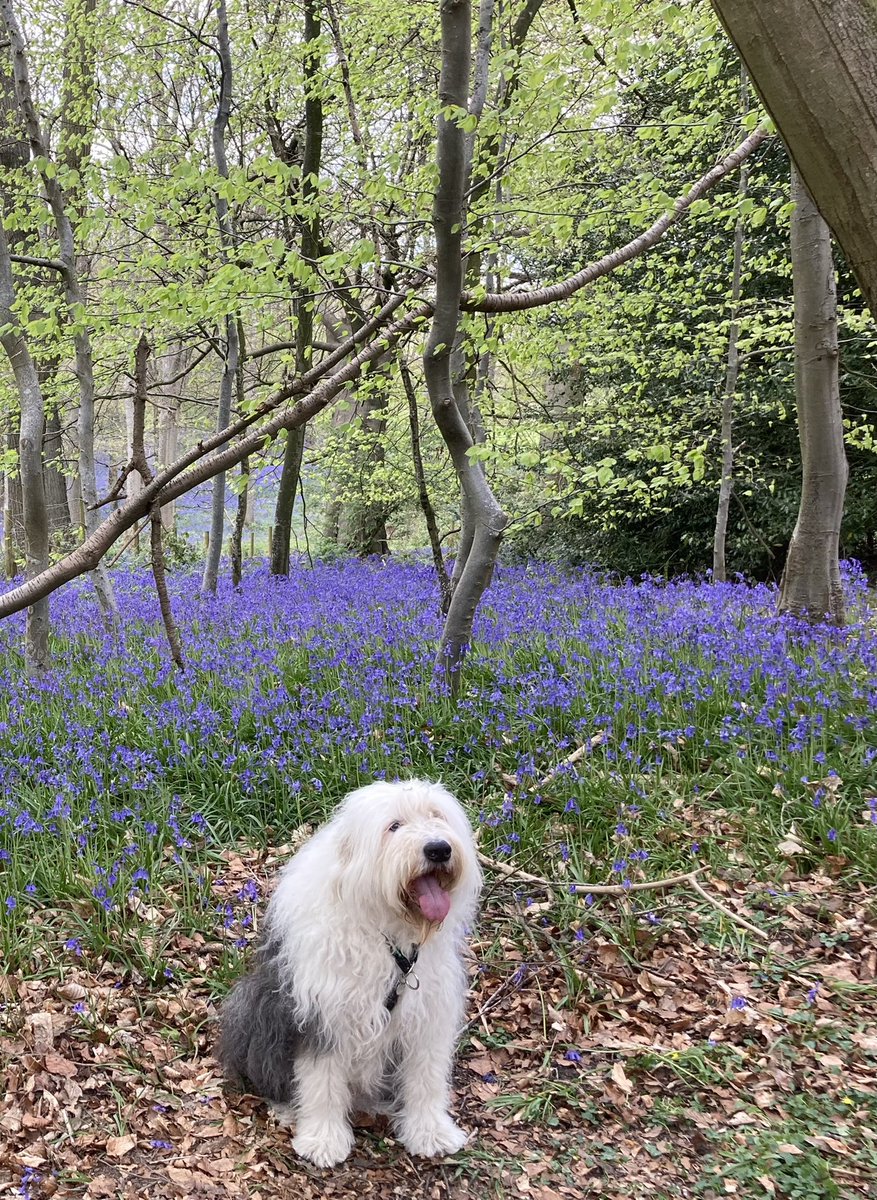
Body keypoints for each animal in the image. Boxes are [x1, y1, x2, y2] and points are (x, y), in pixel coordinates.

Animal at [217, 777, 484, 1161]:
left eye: (437, 816)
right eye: (394, 826)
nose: (438, 849)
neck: (388, 933)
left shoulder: (427, 1014)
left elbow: (426, 1076)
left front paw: (431, 1132)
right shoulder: (322, 1012)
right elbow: (322, 1081)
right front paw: (323, 1141)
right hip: (252, 1008)